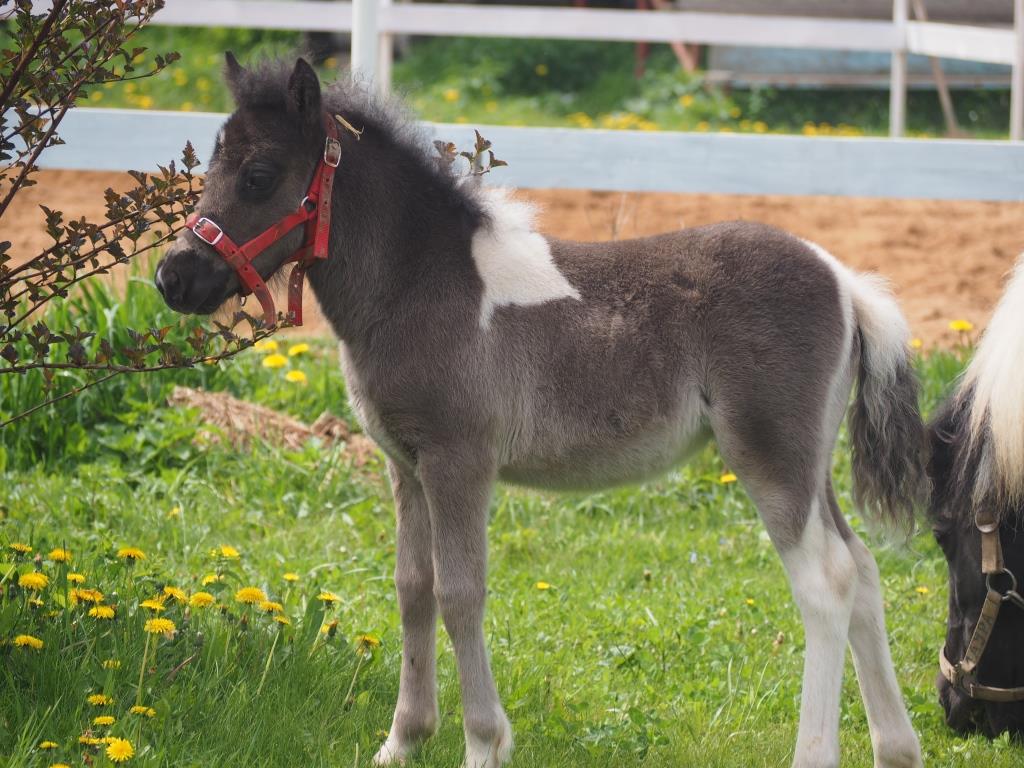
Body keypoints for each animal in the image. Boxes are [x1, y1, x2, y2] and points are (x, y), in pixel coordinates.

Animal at [154, 56, 928, 768]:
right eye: (212, 164)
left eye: (259, 173)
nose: (172, 277)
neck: (420, 284)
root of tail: (844, 280)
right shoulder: (405, 464)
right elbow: (413, 588)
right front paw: (402, 742)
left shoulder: (459, 461)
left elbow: (461, 592)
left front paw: (484, 743)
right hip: (811, 467)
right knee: (862, 571)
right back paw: (897, 748)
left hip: (770, 459)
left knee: (826, 584)